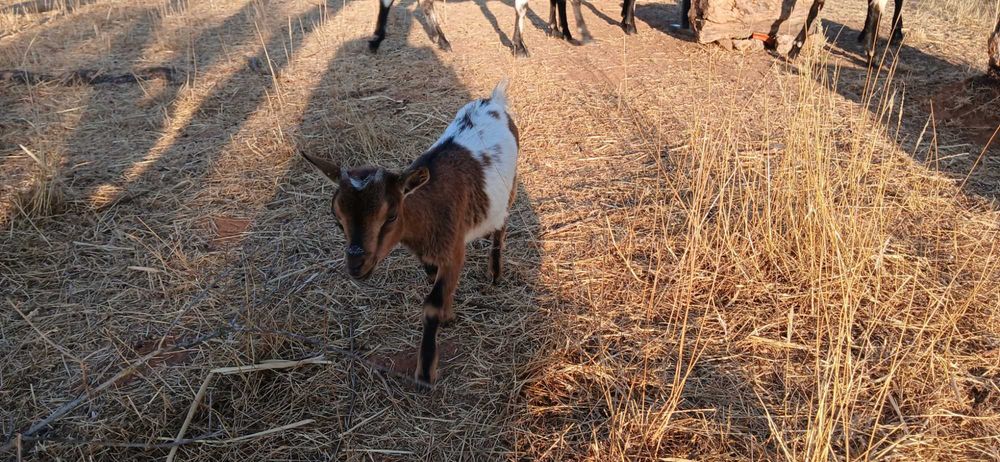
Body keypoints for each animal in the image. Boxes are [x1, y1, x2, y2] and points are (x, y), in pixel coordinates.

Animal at [301, 81, 519, 385]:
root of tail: (493, 100)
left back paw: (496, 272)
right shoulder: (426, 254)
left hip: (512, 186)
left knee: (502, 225)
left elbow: (432, 304)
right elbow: (432, 279)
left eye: (391, 215)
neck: (428, 208)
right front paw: (448, 315)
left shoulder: (454, 249)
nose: (356, 264)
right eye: (337, 219)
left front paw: (426, 371)